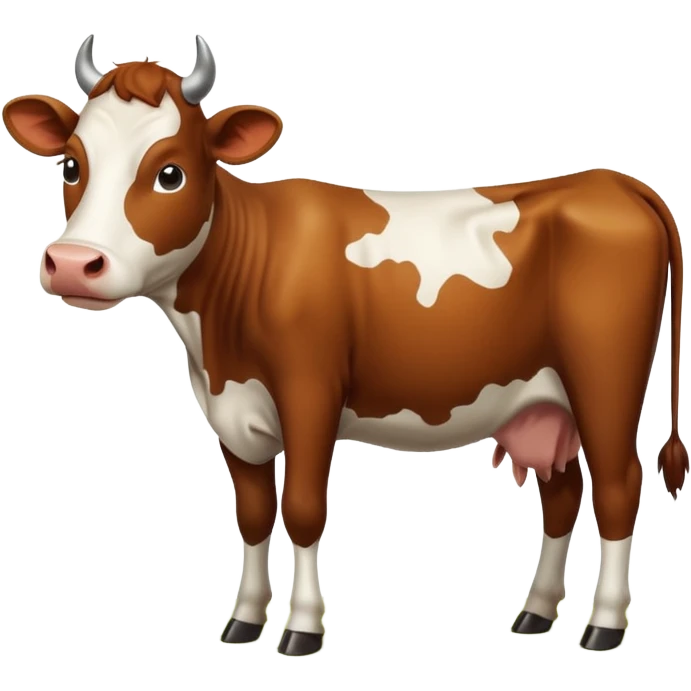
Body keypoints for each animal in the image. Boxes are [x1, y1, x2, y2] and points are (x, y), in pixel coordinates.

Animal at [2, 33, 688, 657]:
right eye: (71, 165)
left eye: (170, 172)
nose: (72, 264)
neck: (217, 336)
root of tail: (612, 183)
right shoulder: (230, 409)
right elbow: (254, 513)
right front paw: (244, 622)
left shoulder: (310, 395)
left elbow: (303, 508)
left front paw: (303, 630)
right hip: (546, 402)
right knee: (562, 494)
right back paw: (536, 613)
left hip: (605, 382)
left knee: (620, 485)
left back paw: (604, 626)